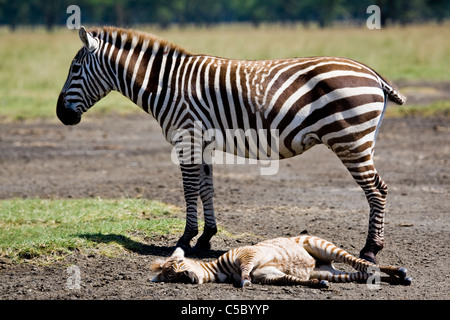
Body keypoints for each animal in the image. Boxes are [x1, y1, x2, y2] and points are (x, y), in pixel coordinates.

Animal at [57, 26, 408, 264]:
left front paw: (185, 240)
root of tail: (372, 73)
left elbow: (189, 190)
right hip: (360, 140)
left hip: (350, 140)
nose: (61, 115)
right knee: (380, 188)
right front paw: (205, 239)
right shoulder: (202, 143)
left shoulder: (186, 137)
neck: (166, 85)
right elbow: (206, 188)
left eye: (74, 69)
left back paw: (371, 250)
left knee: (376, 190)